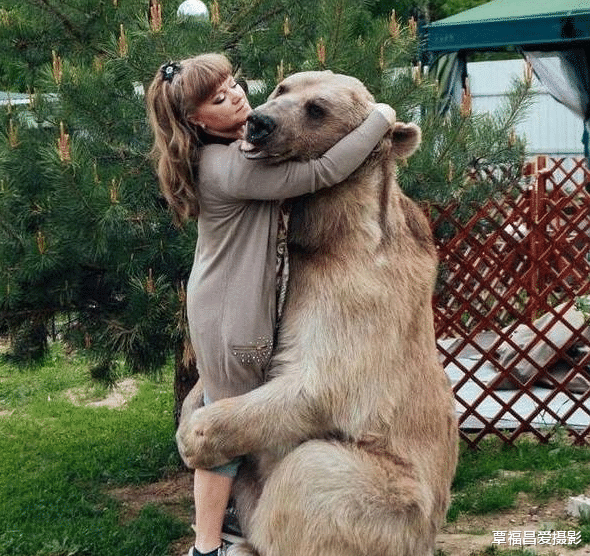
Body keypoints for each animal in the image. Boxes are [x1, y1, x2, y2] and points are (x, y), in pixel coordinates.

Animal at [178, 70, 460, 556]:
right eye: (283, 88)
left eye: (317, 109)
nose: (259, 122)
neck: (330, 234)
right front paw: (187, 418)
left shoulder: (361, 295)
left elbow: (319, 384)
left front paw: (198, 437)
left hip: (394, 501)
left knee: (311, 471)